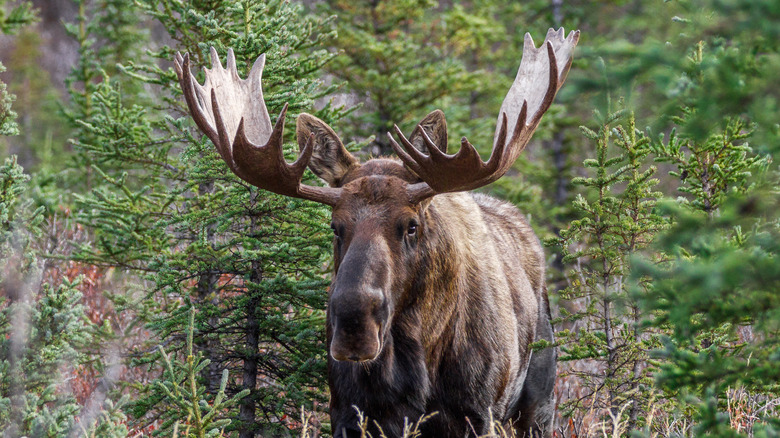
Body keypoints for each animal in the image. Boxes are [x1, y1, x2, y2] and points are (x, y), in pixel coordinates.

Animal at [174, 27, 578, 438]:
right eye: (335, 225)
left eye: (411, 225)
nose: (355, 323)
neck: (415, 366)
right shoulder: (348, 414)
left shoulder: (478, 414)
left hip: (537, 402)